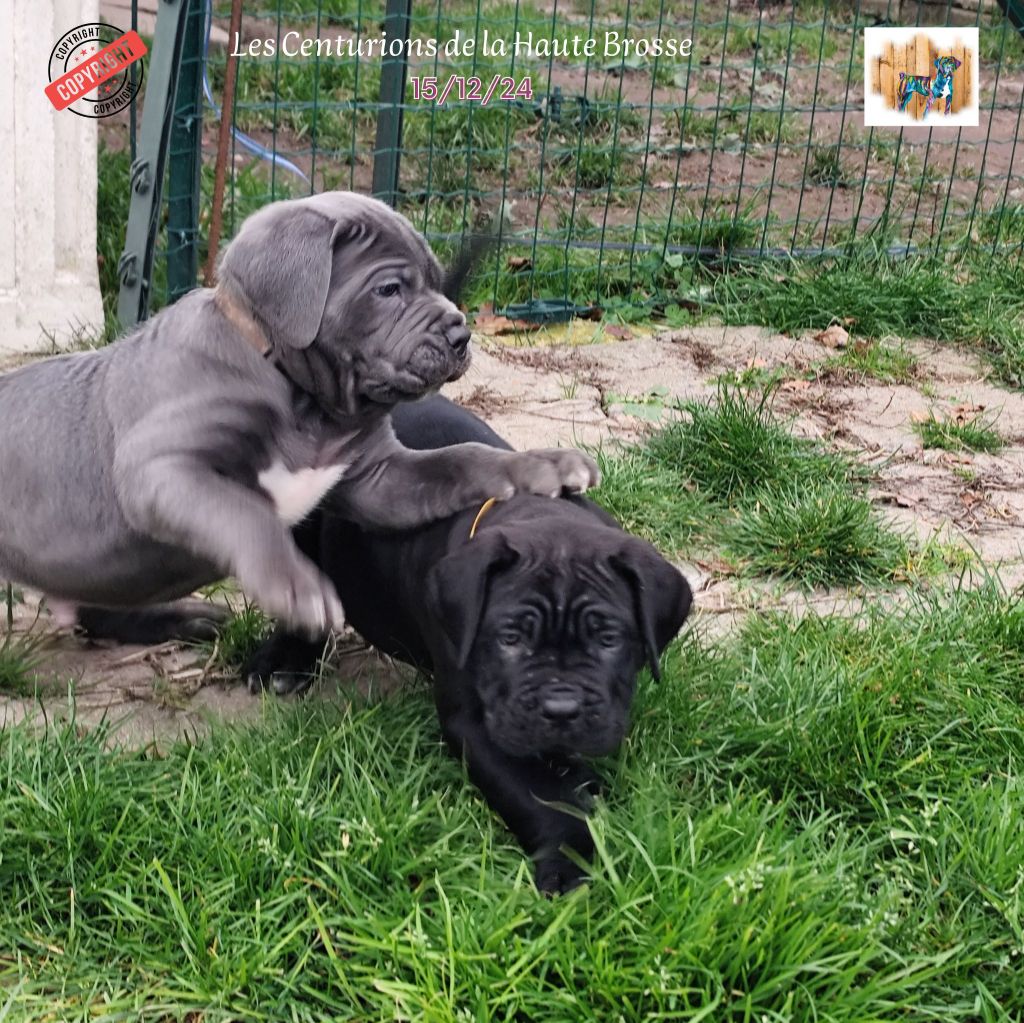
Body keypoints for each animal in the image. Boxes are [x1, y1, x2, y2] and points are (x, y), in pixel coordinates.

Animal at [0, 192, 598, 638]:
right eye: (389, 290)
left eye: (435, 280)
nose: (461, 333)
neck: (306, 403)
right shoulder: (162, 469)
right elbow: (247, 512)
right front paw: (297, 587)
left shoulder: (380, 479)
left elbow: (465, 458)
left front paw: (543, 465)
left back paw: (184, 620)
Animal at [246, 395, 692, 892]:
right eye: (509, 639)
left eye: (609, 639)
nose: (561, 710)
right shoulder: (477, 724)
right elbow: (538, 794)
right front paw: (570, 858)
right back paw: (286, 659)